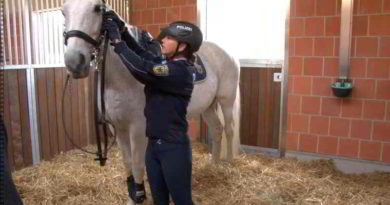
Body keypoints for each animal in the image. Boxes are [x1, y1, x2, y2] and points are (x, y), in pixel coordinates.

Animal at [62, 0, 241, 203]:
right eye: (63, 12)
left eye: (97, 8)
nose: (74, 63)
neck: (121, 78)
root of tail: (227, 52)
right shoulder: (118, 128)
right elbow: (127, 162)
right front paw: (132, 196)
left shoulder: (138, 129)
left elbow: (138, 164)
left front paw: (139, 196)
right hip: (208, 106)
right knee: (217, 129)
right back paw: (214, 165)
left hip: (226, 101)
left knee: (229, 129)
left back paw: (228, 164)